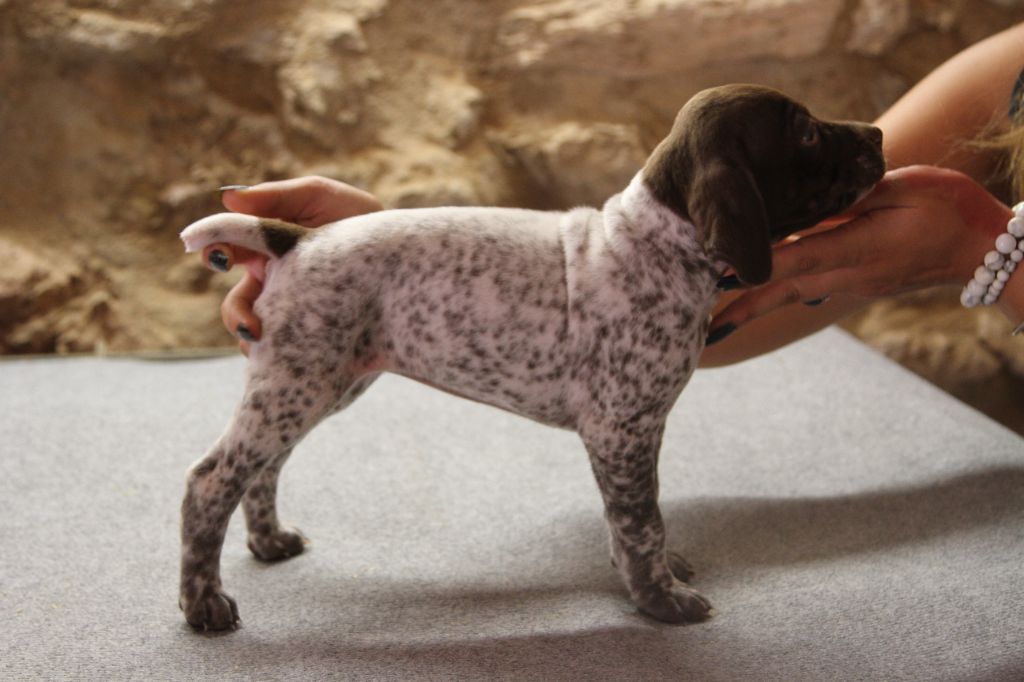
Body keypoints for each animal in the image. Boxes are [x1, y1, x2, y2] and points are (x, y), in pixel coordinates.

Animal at [178, 84, 885, 631]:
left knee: (262, 467)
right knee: (211, 480)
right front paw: (660, 598)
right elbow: (643, 524)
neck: (659, 245)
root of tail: (297, 239)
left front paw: (650, 572)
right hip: (301, 385)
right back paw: (203, 603)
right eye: (806, 135)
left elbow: (633, 518)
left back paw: (268, 541)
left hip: (317, 384)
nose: (877, 134)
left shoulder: (632, 433)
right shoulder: (621, 429)